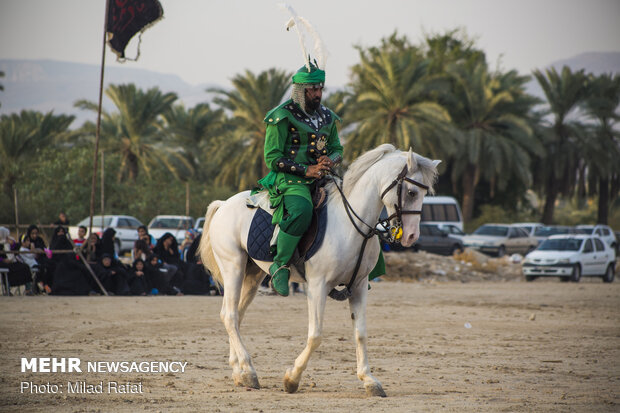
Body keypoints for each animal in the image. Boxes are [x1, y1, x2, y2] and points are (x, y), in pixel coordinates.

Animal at [200, 143, 440, 394]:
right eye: (412, 193)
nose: (412, 236)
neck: (351, 224)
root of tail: (224, 204)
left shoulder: (359, 286)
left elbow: (361, 333)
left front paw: (369, 379)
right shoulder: (317, 286)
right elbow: (315, 335)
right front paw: (292, 379)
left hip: (252, 276)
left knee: (236, 315)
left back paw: (240, 372)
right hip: (233, 268)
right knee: (229, 315)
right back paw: (248, 369)